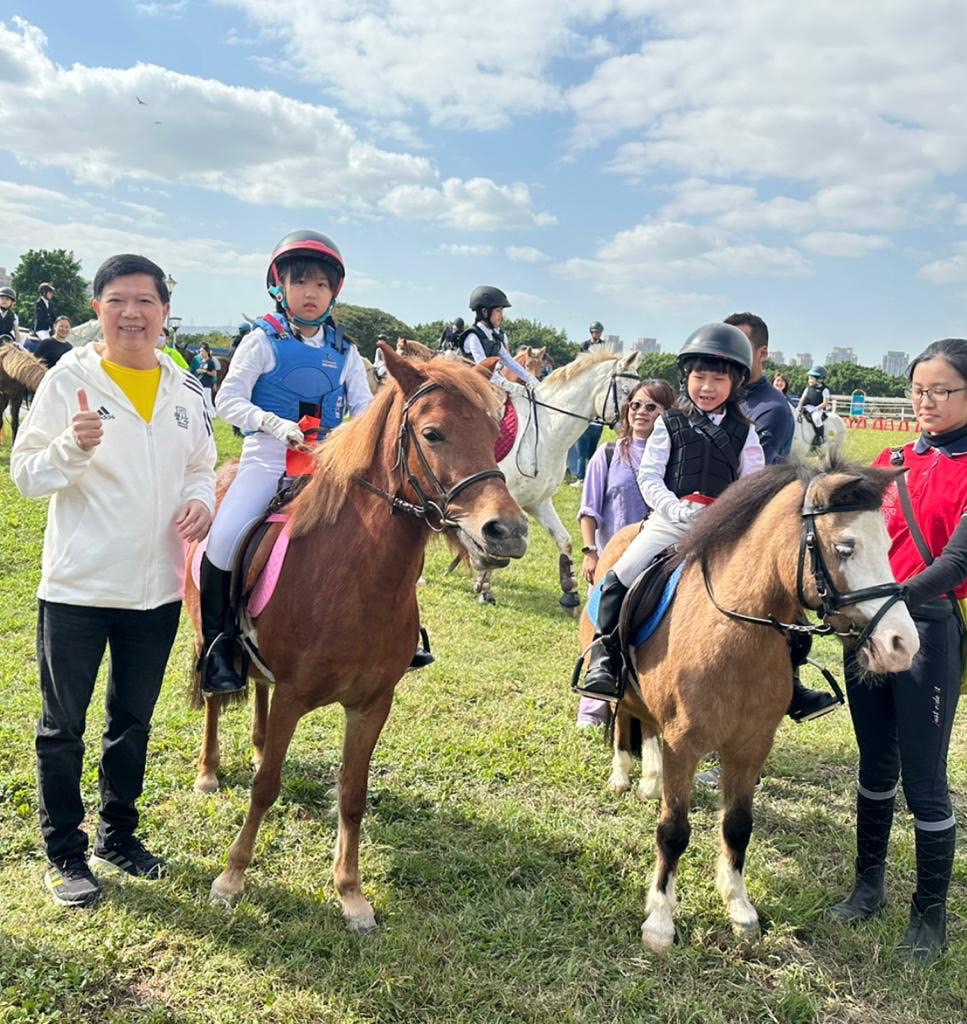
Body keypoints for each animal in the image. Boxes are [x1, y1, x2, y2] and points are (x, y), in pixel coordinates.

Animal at [187, 344, 528, 929]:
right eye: (433, 433)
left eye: (493, 433)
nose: (507, 531)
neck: (356, 581)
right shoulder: (294, 697)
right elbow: (265, 789)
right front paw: (232, 877)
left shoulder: (372, 704)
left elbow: (352, 793)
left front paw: (350, 893)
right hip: (202, 635)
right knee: (214, 694)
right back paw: (210, 771)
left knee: (258, 689)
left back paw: (257, 745)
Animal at [471, 352, 643, 606]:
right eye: (625, 390)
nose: (633, 426)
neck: (544, 432)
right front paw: (484, 590)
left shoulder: (539, 502)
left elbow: (564, 540)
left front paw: (570, 590)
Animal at [577, 460, 917, 954]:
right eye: (845, 547)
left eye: (889, 546)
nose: (902, 645)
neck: (733, 637)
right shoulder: (685, 746)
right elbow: (673, 831)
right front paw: (660, 920)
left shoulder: (752, 745)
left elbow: (737, 825)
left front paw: (739, 909)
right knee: (624, 714)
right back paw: (623, 775)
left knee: (647, 722)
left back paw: (649, 779)